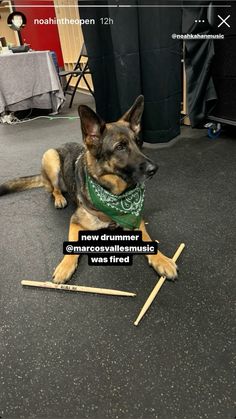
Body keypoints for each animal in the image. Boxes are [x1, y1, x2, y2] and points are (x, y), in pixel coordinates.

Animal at [0, 97, 177, 284]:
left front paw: (162, 260)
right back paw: (59, 198)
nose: (155, 169)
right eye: (120, 147)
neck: (113, 193)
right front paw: (65, 266)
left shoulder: (136, 220)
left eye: (138, 143)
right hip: (50, 158)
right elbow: (71, 246)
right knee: (54, 189)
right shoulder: (76, 221)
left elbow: (149, 239)